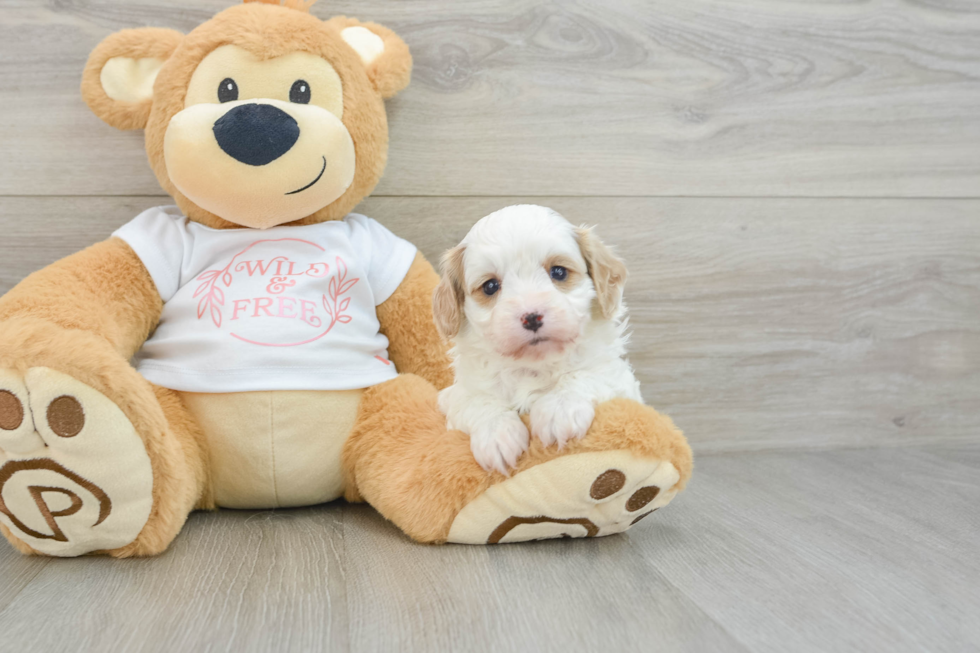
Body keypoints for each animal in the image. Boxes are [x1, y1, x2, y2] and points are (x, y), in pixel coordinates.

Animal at [436, 205, 644, 474]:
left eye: (559, 272)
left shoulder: (618, 378)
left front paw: (559, 408)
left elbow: (586, 373)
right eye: (490, 286)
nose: (531, 317)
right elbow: (476, 400)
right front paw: (497, 434)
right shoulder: (455, 395)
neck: (532, 366)